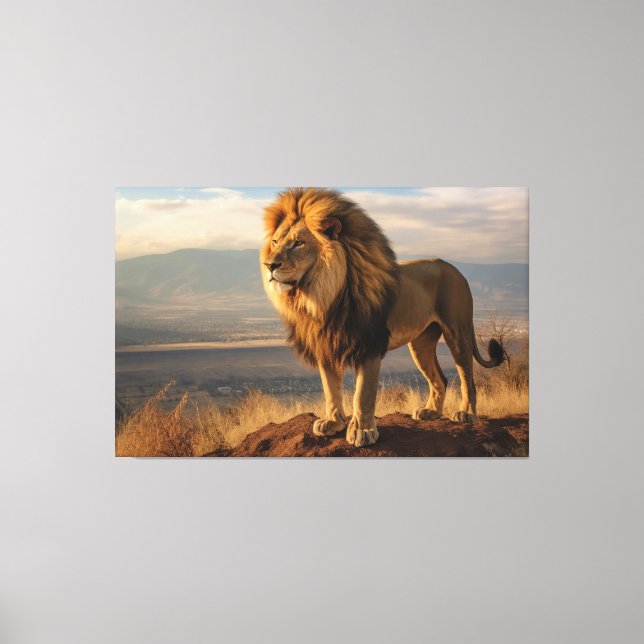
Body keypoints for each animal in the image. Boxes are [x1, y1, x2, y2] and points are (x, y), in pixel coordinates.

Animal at [260, 188, 504, 447]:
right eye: (275, 242)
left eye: (298, 243)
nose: (269, 265)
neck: (322, 296)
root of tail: (455, 269)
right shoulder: (326, 345)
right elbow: (331, 390)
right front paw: (333, 423)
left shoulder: (369, 345)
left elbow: (362, 394)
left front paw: (362, 431)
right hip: (421, 343)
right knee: (440, 379)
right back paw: (431, 412)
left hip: (457, 332)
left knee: (467, 377)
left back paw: (466, 413)